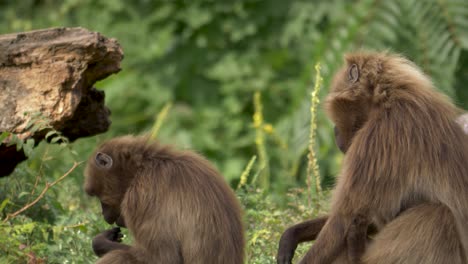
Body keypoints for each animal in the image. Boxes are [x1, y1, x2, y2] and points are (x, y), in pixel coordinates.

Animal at [84, 136, 245, 264]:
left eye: (100, 198)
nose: (105, 216)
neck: (141, 169)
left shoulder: (141, 197)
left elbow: (163, 259)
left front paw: (99, 242)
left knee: (120, 256)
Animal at [278, 52, 468, 264]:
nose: (335, 132)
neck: (387, 101)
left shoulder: (376, 138)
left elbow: (343, 218)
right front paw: (292, 235)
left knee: (436, 214)